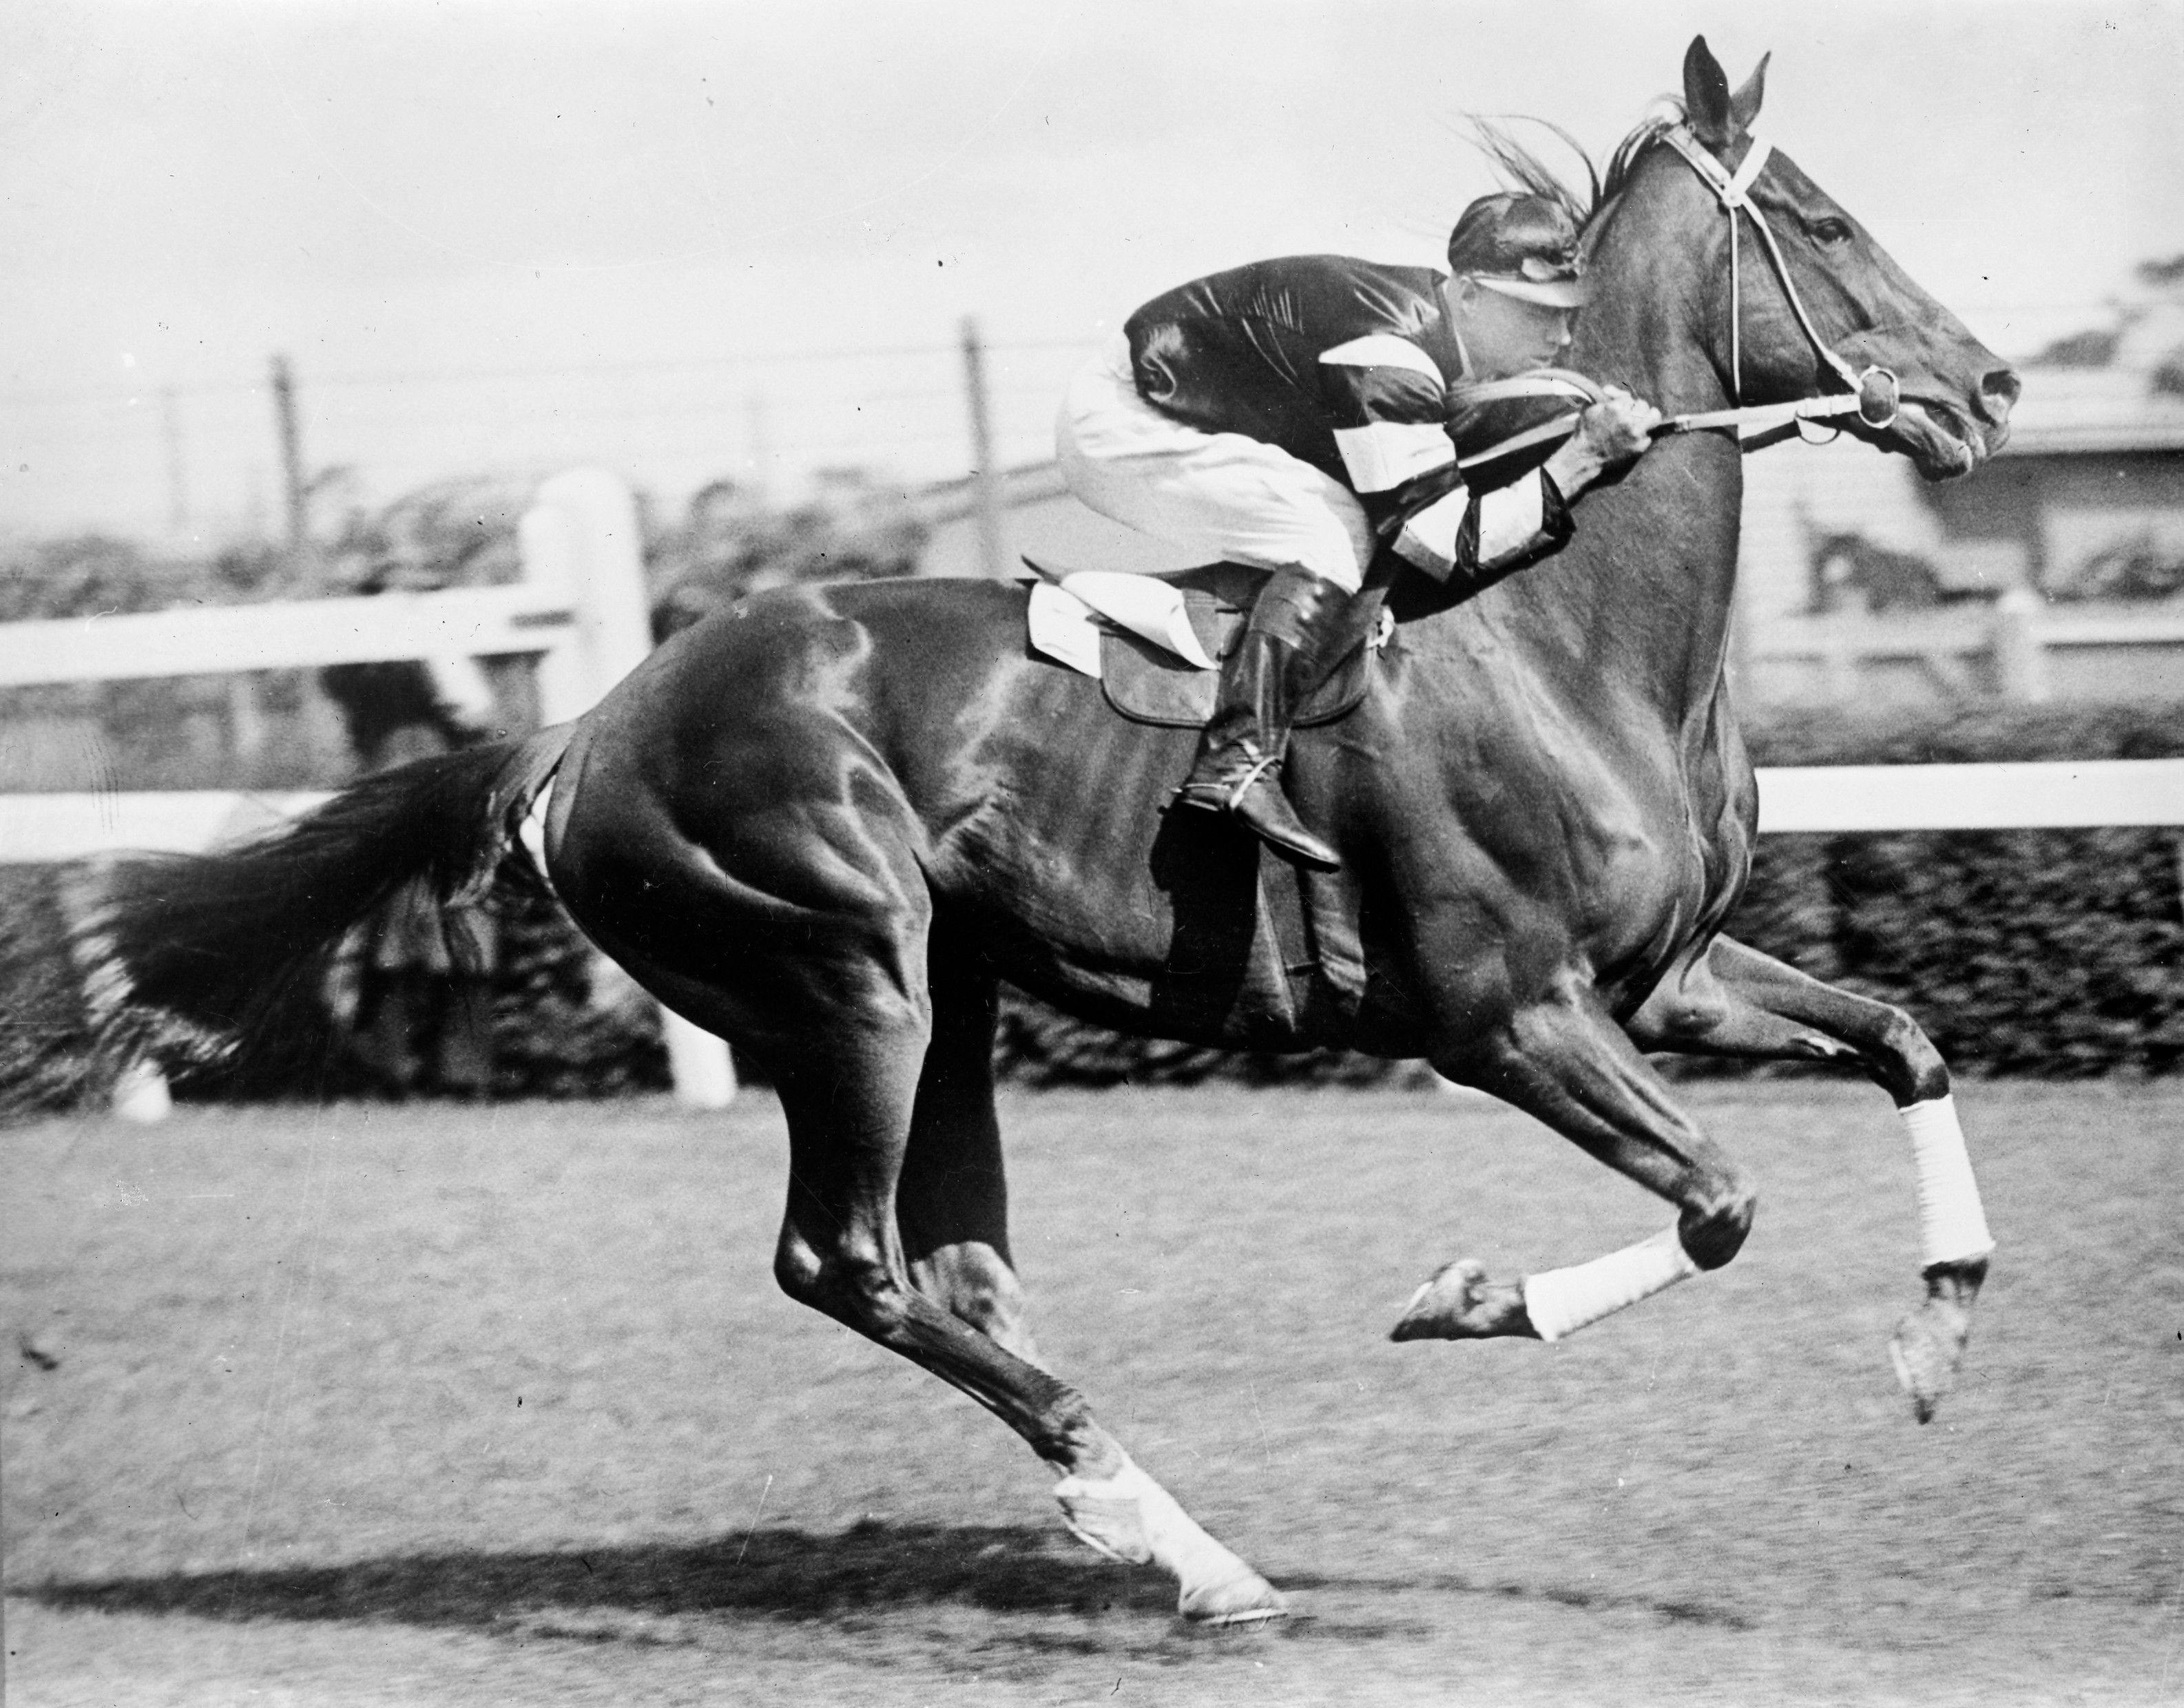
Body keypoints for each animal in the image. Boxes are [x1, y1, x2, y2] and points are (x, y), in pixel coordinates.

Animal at [68, 37, 2009, 1616]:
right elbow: (1724, 1203)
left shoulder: (1667, 977)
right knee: (844, 1261)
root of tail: (585, 727)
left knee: (963, 1272)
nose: (1987, 389)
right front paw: (1468, 1295)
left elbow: (1904, 1038)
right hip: (845, 976)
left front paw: (1932, 1331)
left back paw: (1158, 1530)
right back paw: (1172, 1534)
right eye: (1824, 222)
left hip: (953, 998)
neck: (1569, 629)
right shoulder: (1502, 1011)